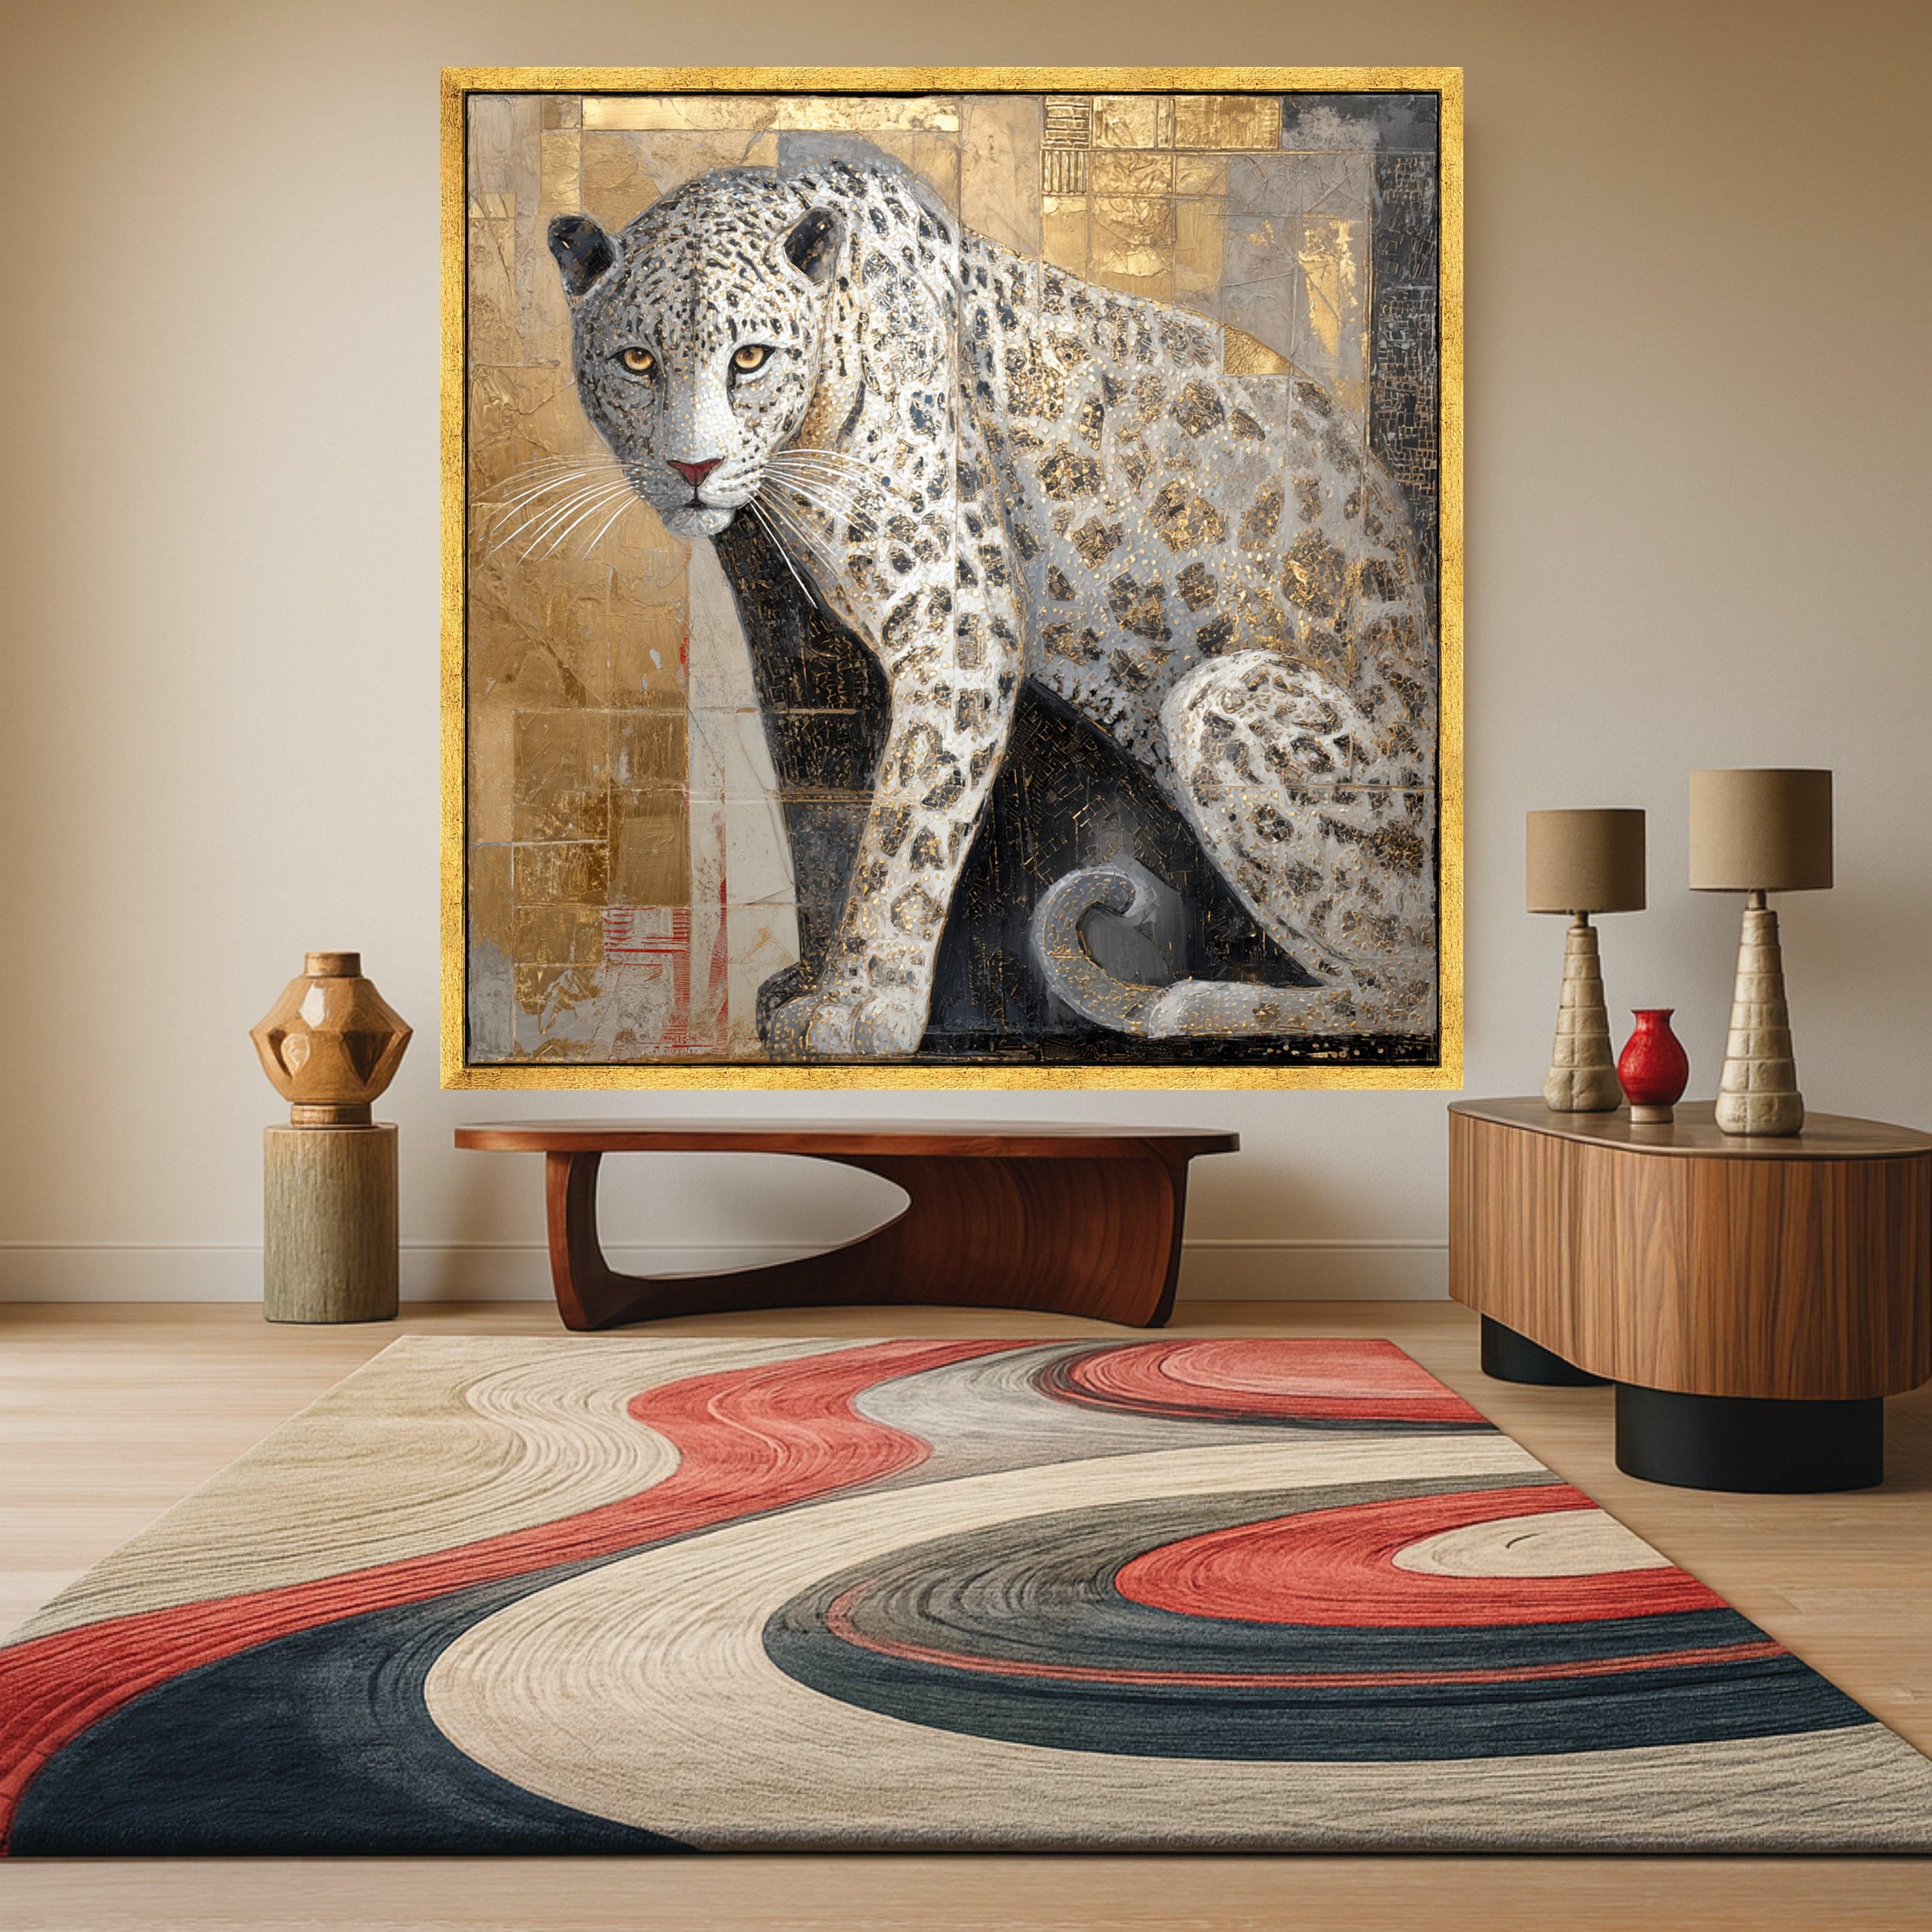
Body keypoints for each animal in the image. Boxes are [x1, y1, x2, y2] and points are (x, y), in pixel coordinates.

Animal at [547, 156, 1438, 1060]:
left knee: (1406, 985)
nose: (693, 468)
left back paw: (1194, 1007)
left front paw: (864, 1004)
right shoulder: (793, 640)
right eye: (636, 361)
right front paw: (810, 987)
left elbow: (908, 826)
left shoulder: (957, 623)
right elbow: (821, 810)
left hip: (1223, 695)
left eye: (751, 358)